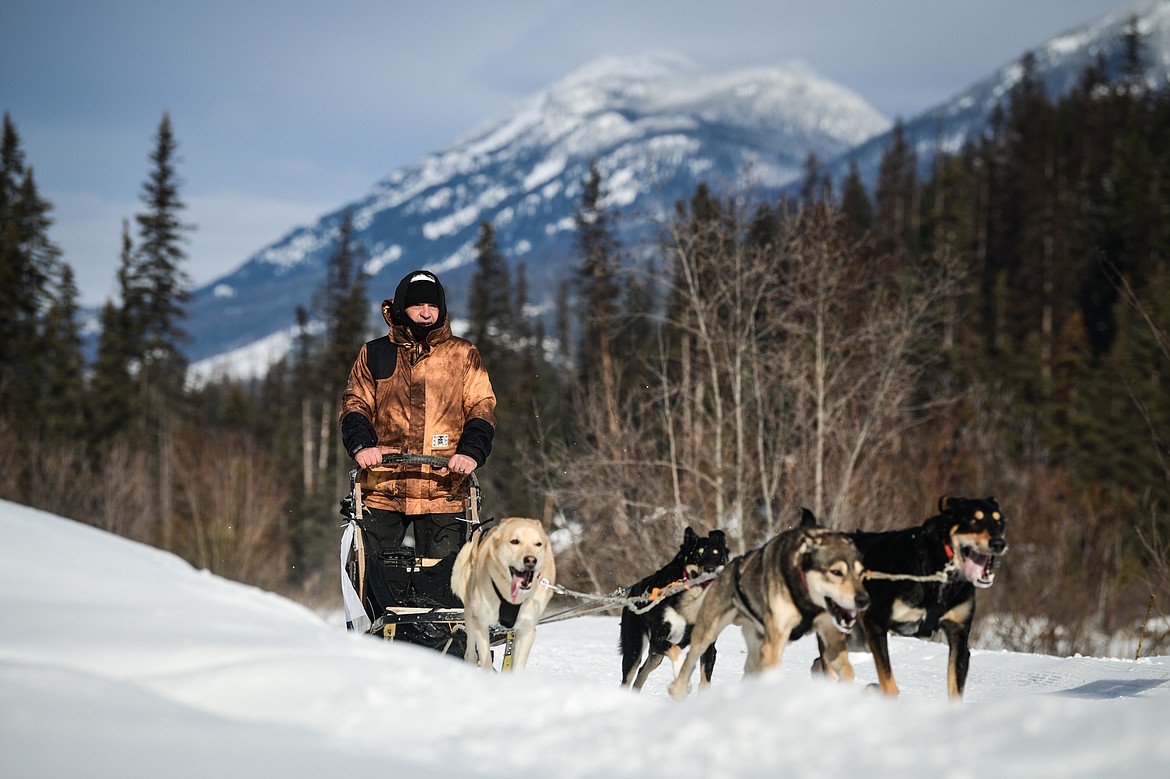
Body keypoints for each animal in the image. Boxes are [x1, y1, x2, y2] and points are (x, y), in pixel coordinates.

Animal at [617, 528, 725, 687]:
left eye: (717, 554)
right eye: (698, 554)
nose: (710, 569)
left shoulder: (708, 645)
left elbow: (705, 680)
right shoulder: (658, 639)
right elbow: (675, 651)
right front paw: (680, 670)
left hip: (655, 656)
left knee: (642, 672)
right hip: (634, 648)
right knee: (629, 675)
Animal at [669, 514, 870, 697]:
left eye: (861, 573)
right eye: (836, 572)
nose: (863, 600)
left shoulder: (831, 640)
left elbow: (847, 671)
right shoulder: (773, 644)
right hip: (707, 633)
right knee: (690, 660)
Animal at [814, 498, 1006, 697]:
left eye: (1000, 522)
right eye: (973, 520)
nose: (998, 543)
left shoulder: (958, 635)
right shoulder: (875, 620)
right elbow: (888, 682)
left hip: (859, 641)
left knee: (819, 662)